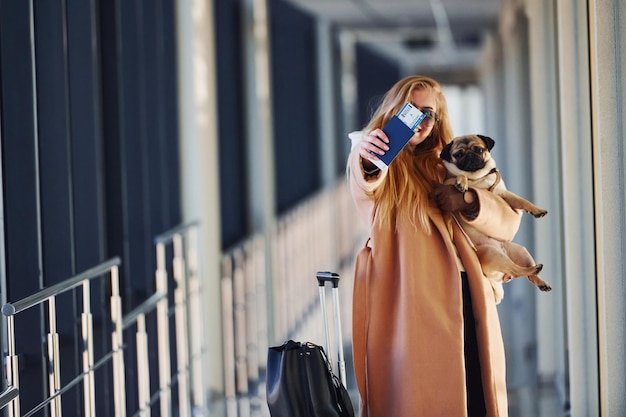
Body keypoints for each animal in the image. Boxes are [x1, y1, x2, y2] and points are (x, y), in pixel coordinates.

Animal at [438, 134, 552, 302]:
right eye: (458, 154)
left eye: (479, 150)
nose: (469, 156)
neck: (477, 178)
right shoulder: (447, 182)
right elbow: (460, 175)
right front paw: (462, 181)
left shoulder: (502, 194)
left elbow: (521, 201)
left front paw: (537, 210)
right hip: (493, 254)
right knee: (517, 270)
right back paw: (534, 269)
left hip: (521, 252)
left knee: (527, 274)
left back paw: (540, 280)